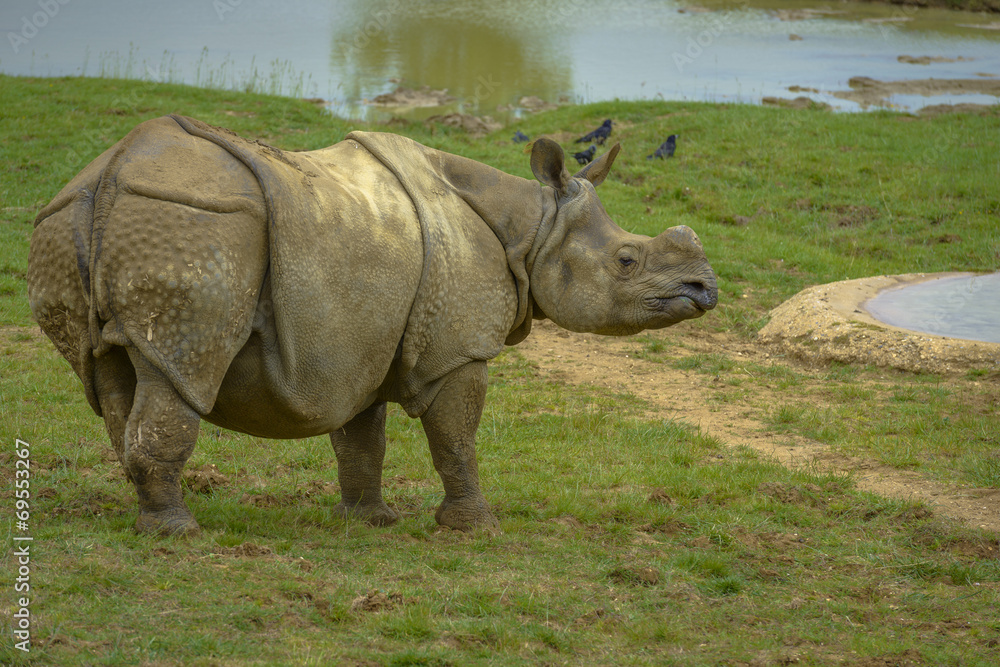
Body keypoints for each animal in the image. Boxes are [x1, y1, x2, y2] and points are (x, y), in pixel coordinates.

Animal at [27, 115, 717, 535]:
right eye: (627, 260)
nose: (706, 289)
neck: (534, 226)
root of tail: (111, 175)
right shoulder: (457, 348)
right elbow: (455, 436)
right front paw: (476, 527)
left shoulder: (360, 335)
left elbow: (362, 437)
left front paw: (370, 521)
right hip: (195, 226)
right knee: (181, 368)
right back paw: (180, 533)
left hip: (77, 220)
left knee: (114, 374)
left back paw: (151, 519)